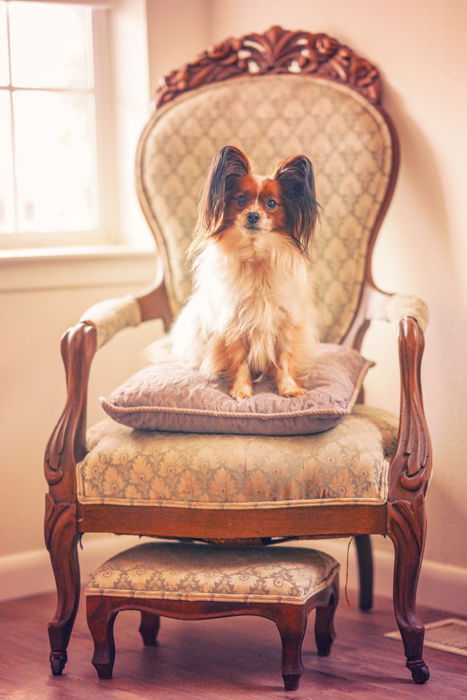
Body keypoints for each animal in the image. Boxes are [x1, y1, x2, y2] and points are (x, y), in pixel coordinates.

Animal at [170, 146, 320, 400]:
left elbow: (284, 359)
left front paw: (288, 387)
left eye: (271, 204)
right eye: (241, 200)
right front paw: (241, 389)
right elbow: (238, 360)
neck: (256, 256)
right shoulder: (234, 323)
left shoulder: (284, 321)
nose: (253, 216)